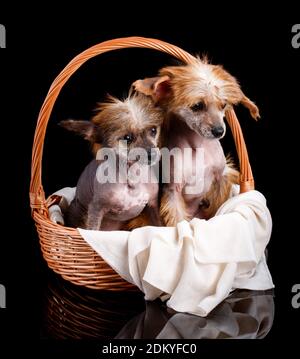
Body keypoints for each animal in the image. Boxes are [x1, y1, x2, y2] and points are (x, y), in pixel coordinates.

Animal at [132, 57, 258, 226]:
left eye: (223, 105)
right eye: (197, 106)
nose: (219, 131)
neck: (197, 147)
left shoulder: (221, 180)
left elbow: (218, 207)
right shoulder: (173, 192)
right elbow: (177, 221)